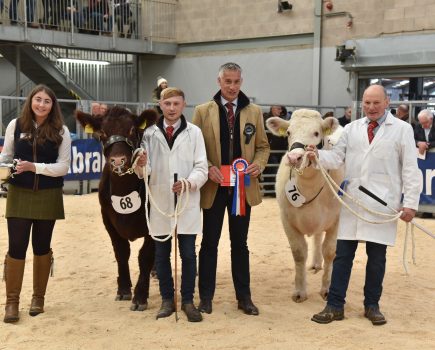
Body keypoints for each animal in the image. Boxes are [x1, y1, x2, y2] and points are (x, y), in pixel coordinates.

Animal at [266, 109, 344, 304]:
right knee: (316, 238)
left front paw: (326, 289)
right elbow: (299, 253)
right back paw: (315, 263)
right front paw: (300, 291)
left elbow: (330, 251)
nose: (295, 157)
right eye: (288, 133)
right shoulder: (287, 220)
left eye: (316, 133)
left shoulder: (337, 220)